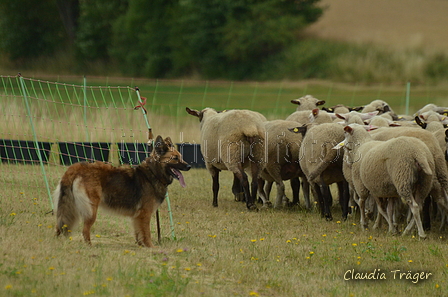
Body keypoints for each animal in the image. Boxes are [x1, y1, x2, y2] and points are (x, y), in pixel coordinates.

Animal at [54, 135, 191, 246]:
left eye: (181, 157)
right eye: (175, 158)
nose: (189, 166)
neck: (153, 173)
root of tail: (75, 167)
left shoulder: (137, 217)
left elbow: (138, 232)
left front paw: (141, 245)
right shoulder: (144, 214)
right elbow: (146, 233)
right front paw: (151, 247)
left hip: (70, 207)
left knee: (60, 225)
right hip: (91, 209)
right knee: (85, 230)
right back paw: (89, 246)